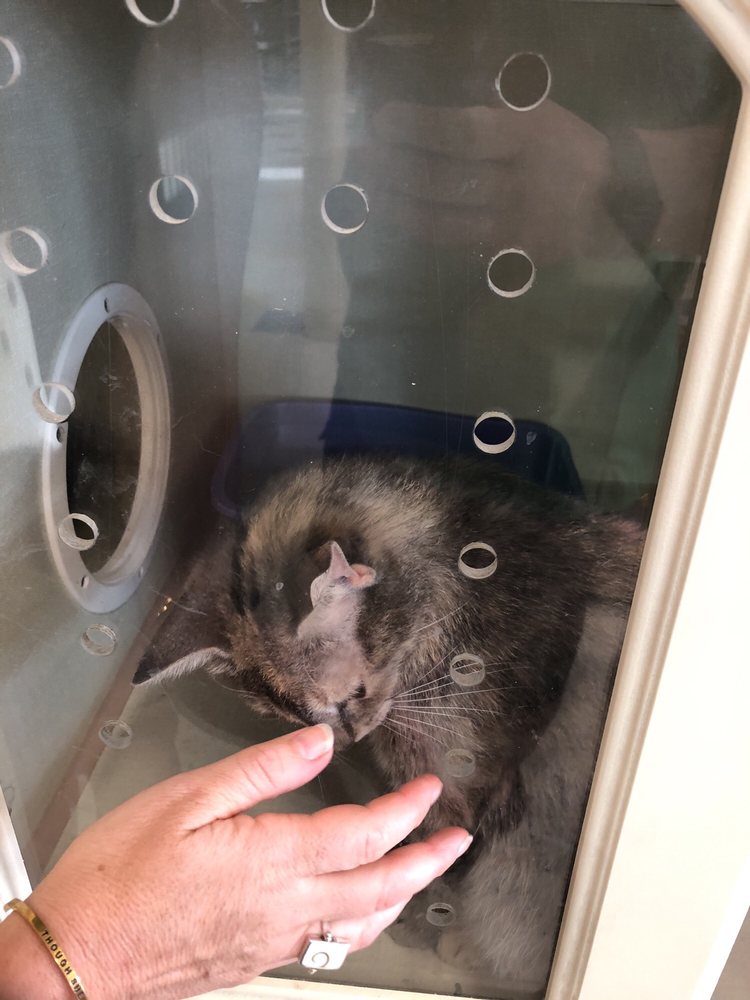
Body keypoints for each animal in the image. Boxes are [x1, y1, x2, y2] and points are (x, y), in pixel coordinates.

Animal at [135, 454, 642, 987]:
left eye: (351, 695)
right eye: (294, 718)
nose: (347, 738)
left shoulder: (457, 789)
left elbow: (441, 864)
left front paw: (424, 923)